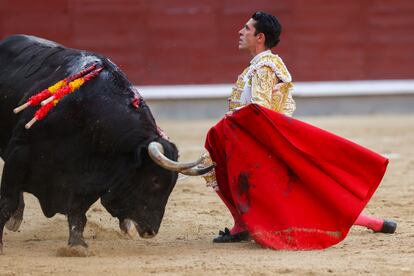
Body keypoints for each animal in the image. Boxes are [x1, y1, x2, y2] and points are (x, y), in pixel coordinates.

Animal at [0, 34, 212, 252]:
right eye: (155, 180)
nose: (151, 231)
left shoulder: (92, 177)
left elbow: (78, 212)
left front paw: (77, 246)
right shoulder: (18, 156)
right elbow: (7, 203)